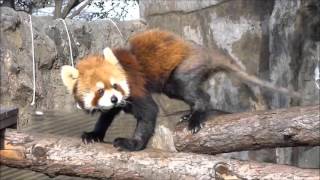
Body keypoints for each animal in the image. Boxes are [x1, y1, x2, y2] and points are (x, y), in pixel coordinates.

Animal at [60, 29, 300, 150]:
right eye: (100, 91)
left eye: (115, 85)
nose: (113, 99)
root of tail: (204, 50)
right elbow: (106, 117)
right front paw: (94, 134)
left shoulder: (135, 87)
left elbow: (148, 113)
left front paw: (132, 143)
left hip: (183, 70)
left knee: (196, 92)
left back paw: (196, 115)